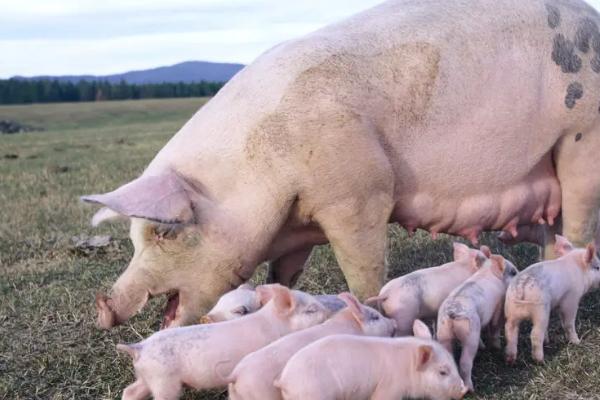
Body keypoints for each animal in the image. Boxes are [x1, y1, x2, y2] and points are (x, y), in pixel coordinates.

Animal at [82, 0, 596, 330]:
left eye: (165, 232)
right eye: (135, 238)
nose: (103, 307)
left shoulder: (359, 193)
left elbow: (363, 268)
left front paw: (369, 310)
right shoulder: (296, 218)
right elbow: (283, 272)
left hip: (581, 139)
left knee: (579, 227)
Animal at [116, 284, 328, 400]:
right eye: (310, 310)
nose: (329, 311)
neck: (273, 322)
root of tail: (138, 348)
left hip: (147, 378)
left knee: (130, 392)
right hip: (165, 382)